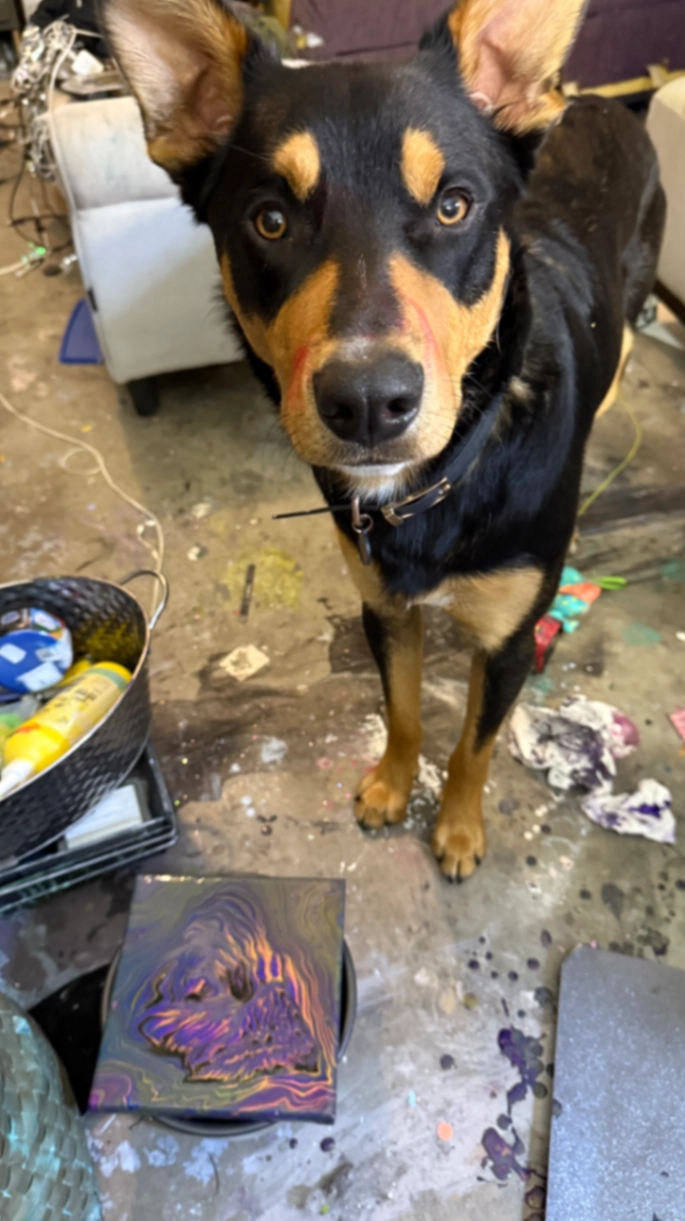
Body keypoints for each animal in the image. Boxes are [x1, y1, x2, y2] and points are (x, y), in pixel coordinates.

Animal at [104, 0, 665, 880]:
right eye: (270, 220)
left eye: (452, 206)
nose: (367, 403)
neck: (434, 486)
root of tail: (605, 104)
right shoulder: (383, 610)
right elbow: (402, 711)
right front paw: (392, 787)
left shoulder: (508, 641)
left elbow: (473, 744)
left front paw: (459, 829)